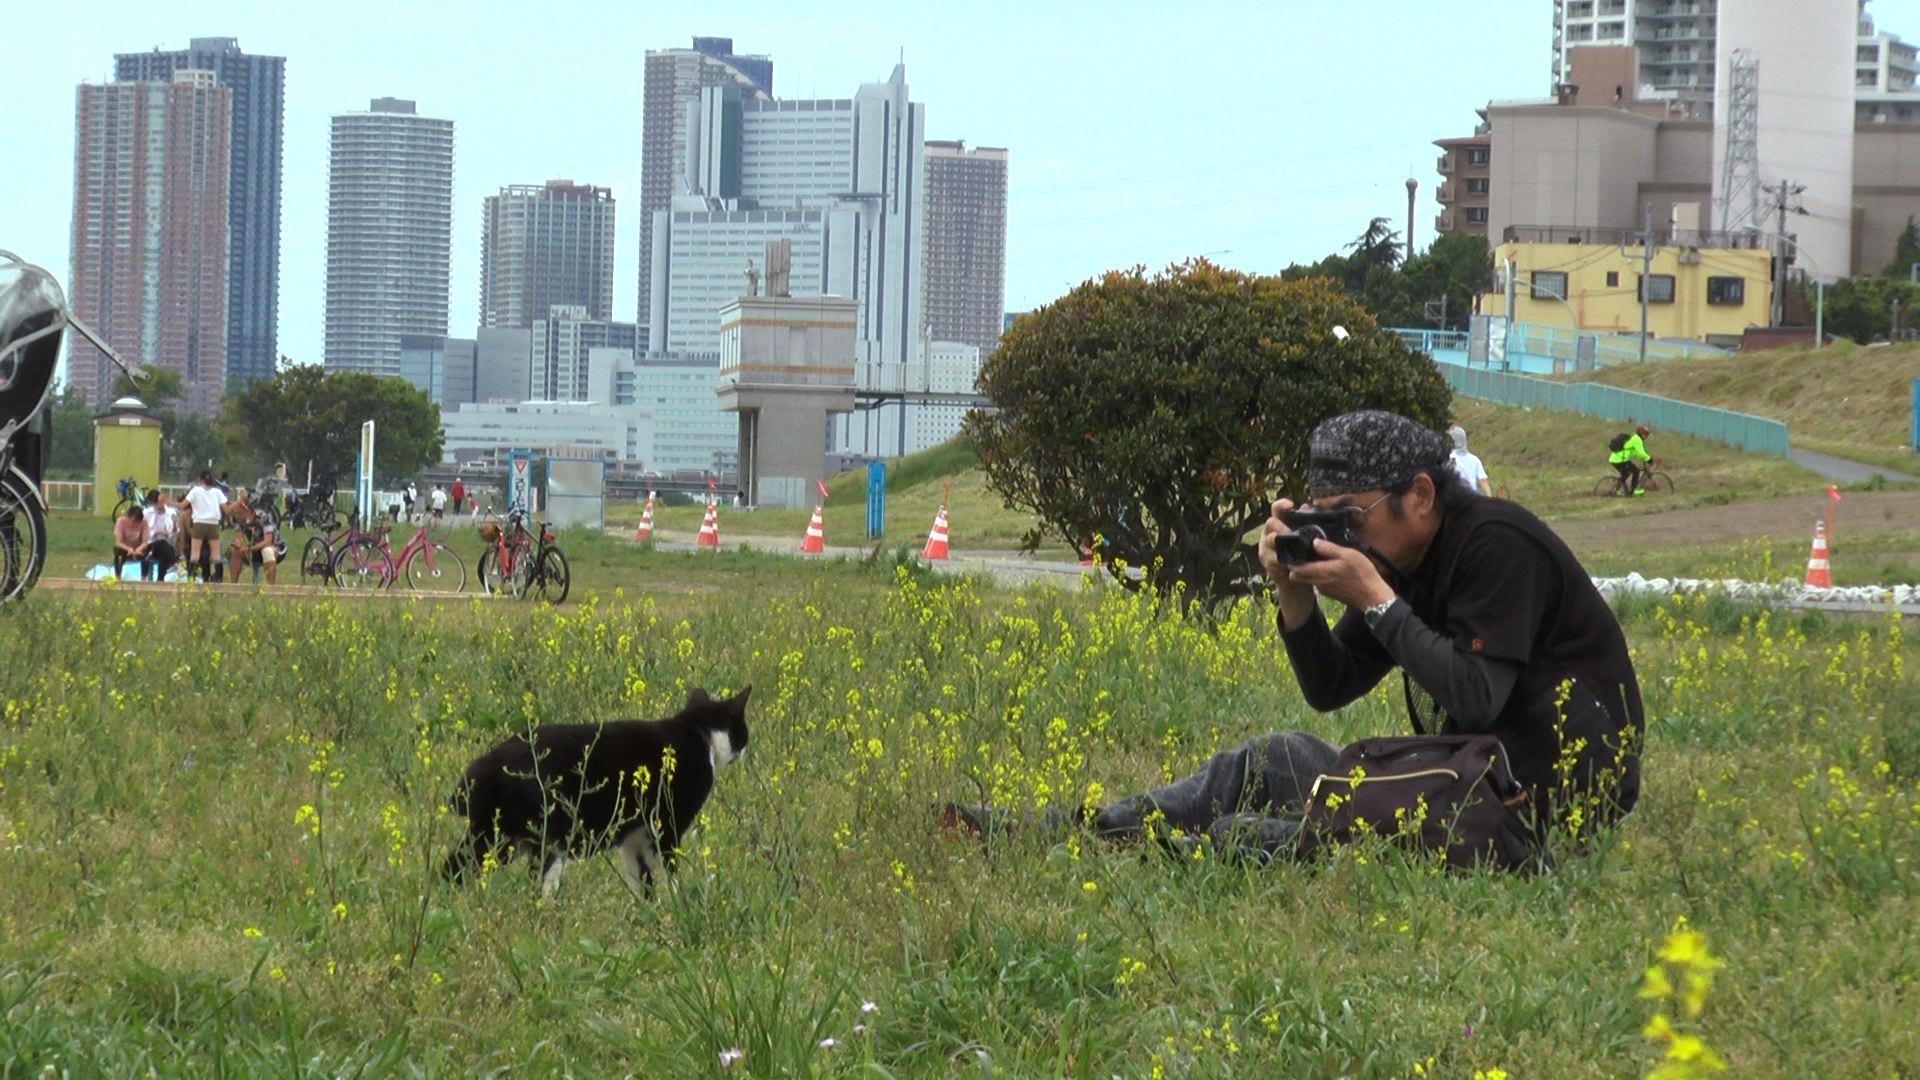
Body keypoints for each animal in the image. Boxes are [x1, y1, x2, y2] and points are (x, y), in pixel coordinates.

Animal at [441, 684, 748, 895]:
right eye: (743, 732)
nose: (744, 750)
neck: (697, 730)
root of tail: (491, 761)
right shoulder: (665, 828)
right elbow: (669, 874)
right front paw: (680, 906)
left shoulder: (633, 840)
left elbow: (642, 881)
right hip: (547, 839)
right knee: (538, 887)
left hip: (495, 835)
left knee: (451, 869)